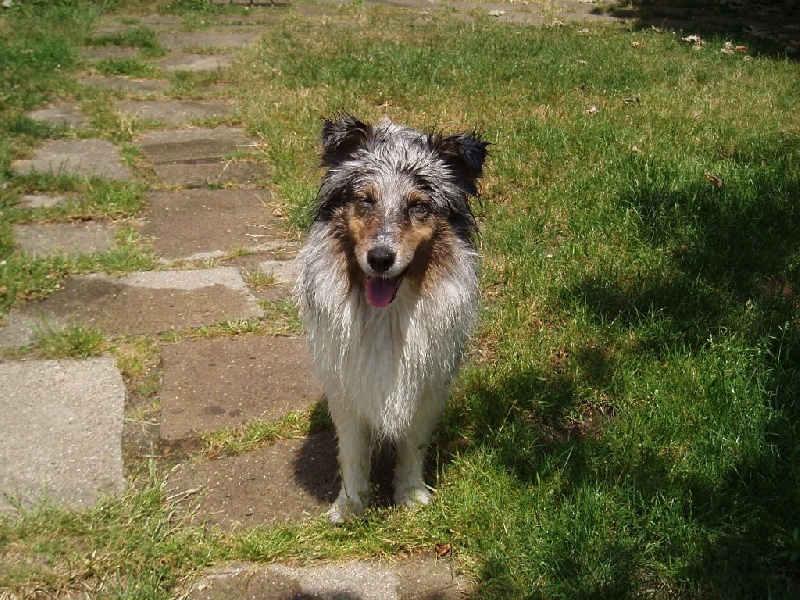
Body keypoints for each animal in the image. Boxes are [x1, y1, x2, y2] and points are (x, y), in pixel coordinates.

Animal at [296, 113, 488, 524]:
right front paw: (350, 505)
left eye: (418, 206)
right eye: (365, 200)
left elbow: (413, 444)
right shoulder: (346, 386)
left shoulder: (428, 386)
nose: (380, 259)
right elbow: (352, 450)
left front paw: (411, 495)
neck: (387, 317)